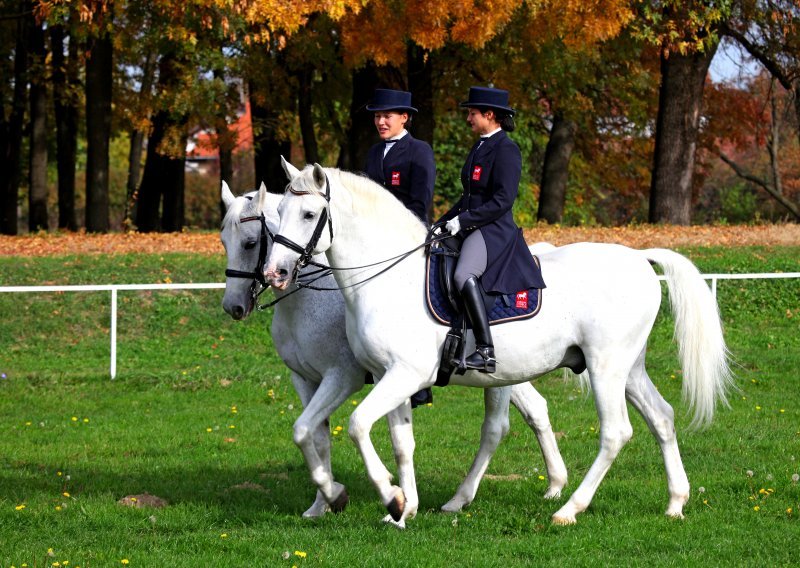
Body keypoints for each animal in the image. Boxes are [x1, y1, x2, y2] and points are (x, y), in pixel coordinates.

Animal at [219, 180, 568, 520]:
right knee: (535, 409)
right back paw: (554, 484)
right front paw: (326, 502)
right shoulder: (305, 379)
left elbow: (314, 430)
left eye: (250, 243)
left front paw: (359, 495)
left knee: (498, 427)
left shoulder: (342, 377)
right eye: (223, 242)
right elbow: (311, 435)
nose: (233, 306)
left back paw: (470, 497)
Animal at [266, 162, 736, 524]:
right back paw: (676, 503)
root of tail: (639, 258)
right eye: (278, 212)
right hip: (629, 368)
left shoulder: (401, 374)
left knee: (616, 432)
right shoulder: (389, 376)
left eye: (309, 213)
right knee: (662, 418)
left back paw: (569, 509)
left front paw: (388, 497)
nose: (275, 273)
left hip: (606, 366)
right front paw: (402, 508)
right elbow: (399, 442)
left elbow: (358, 424)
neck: (389, 280)